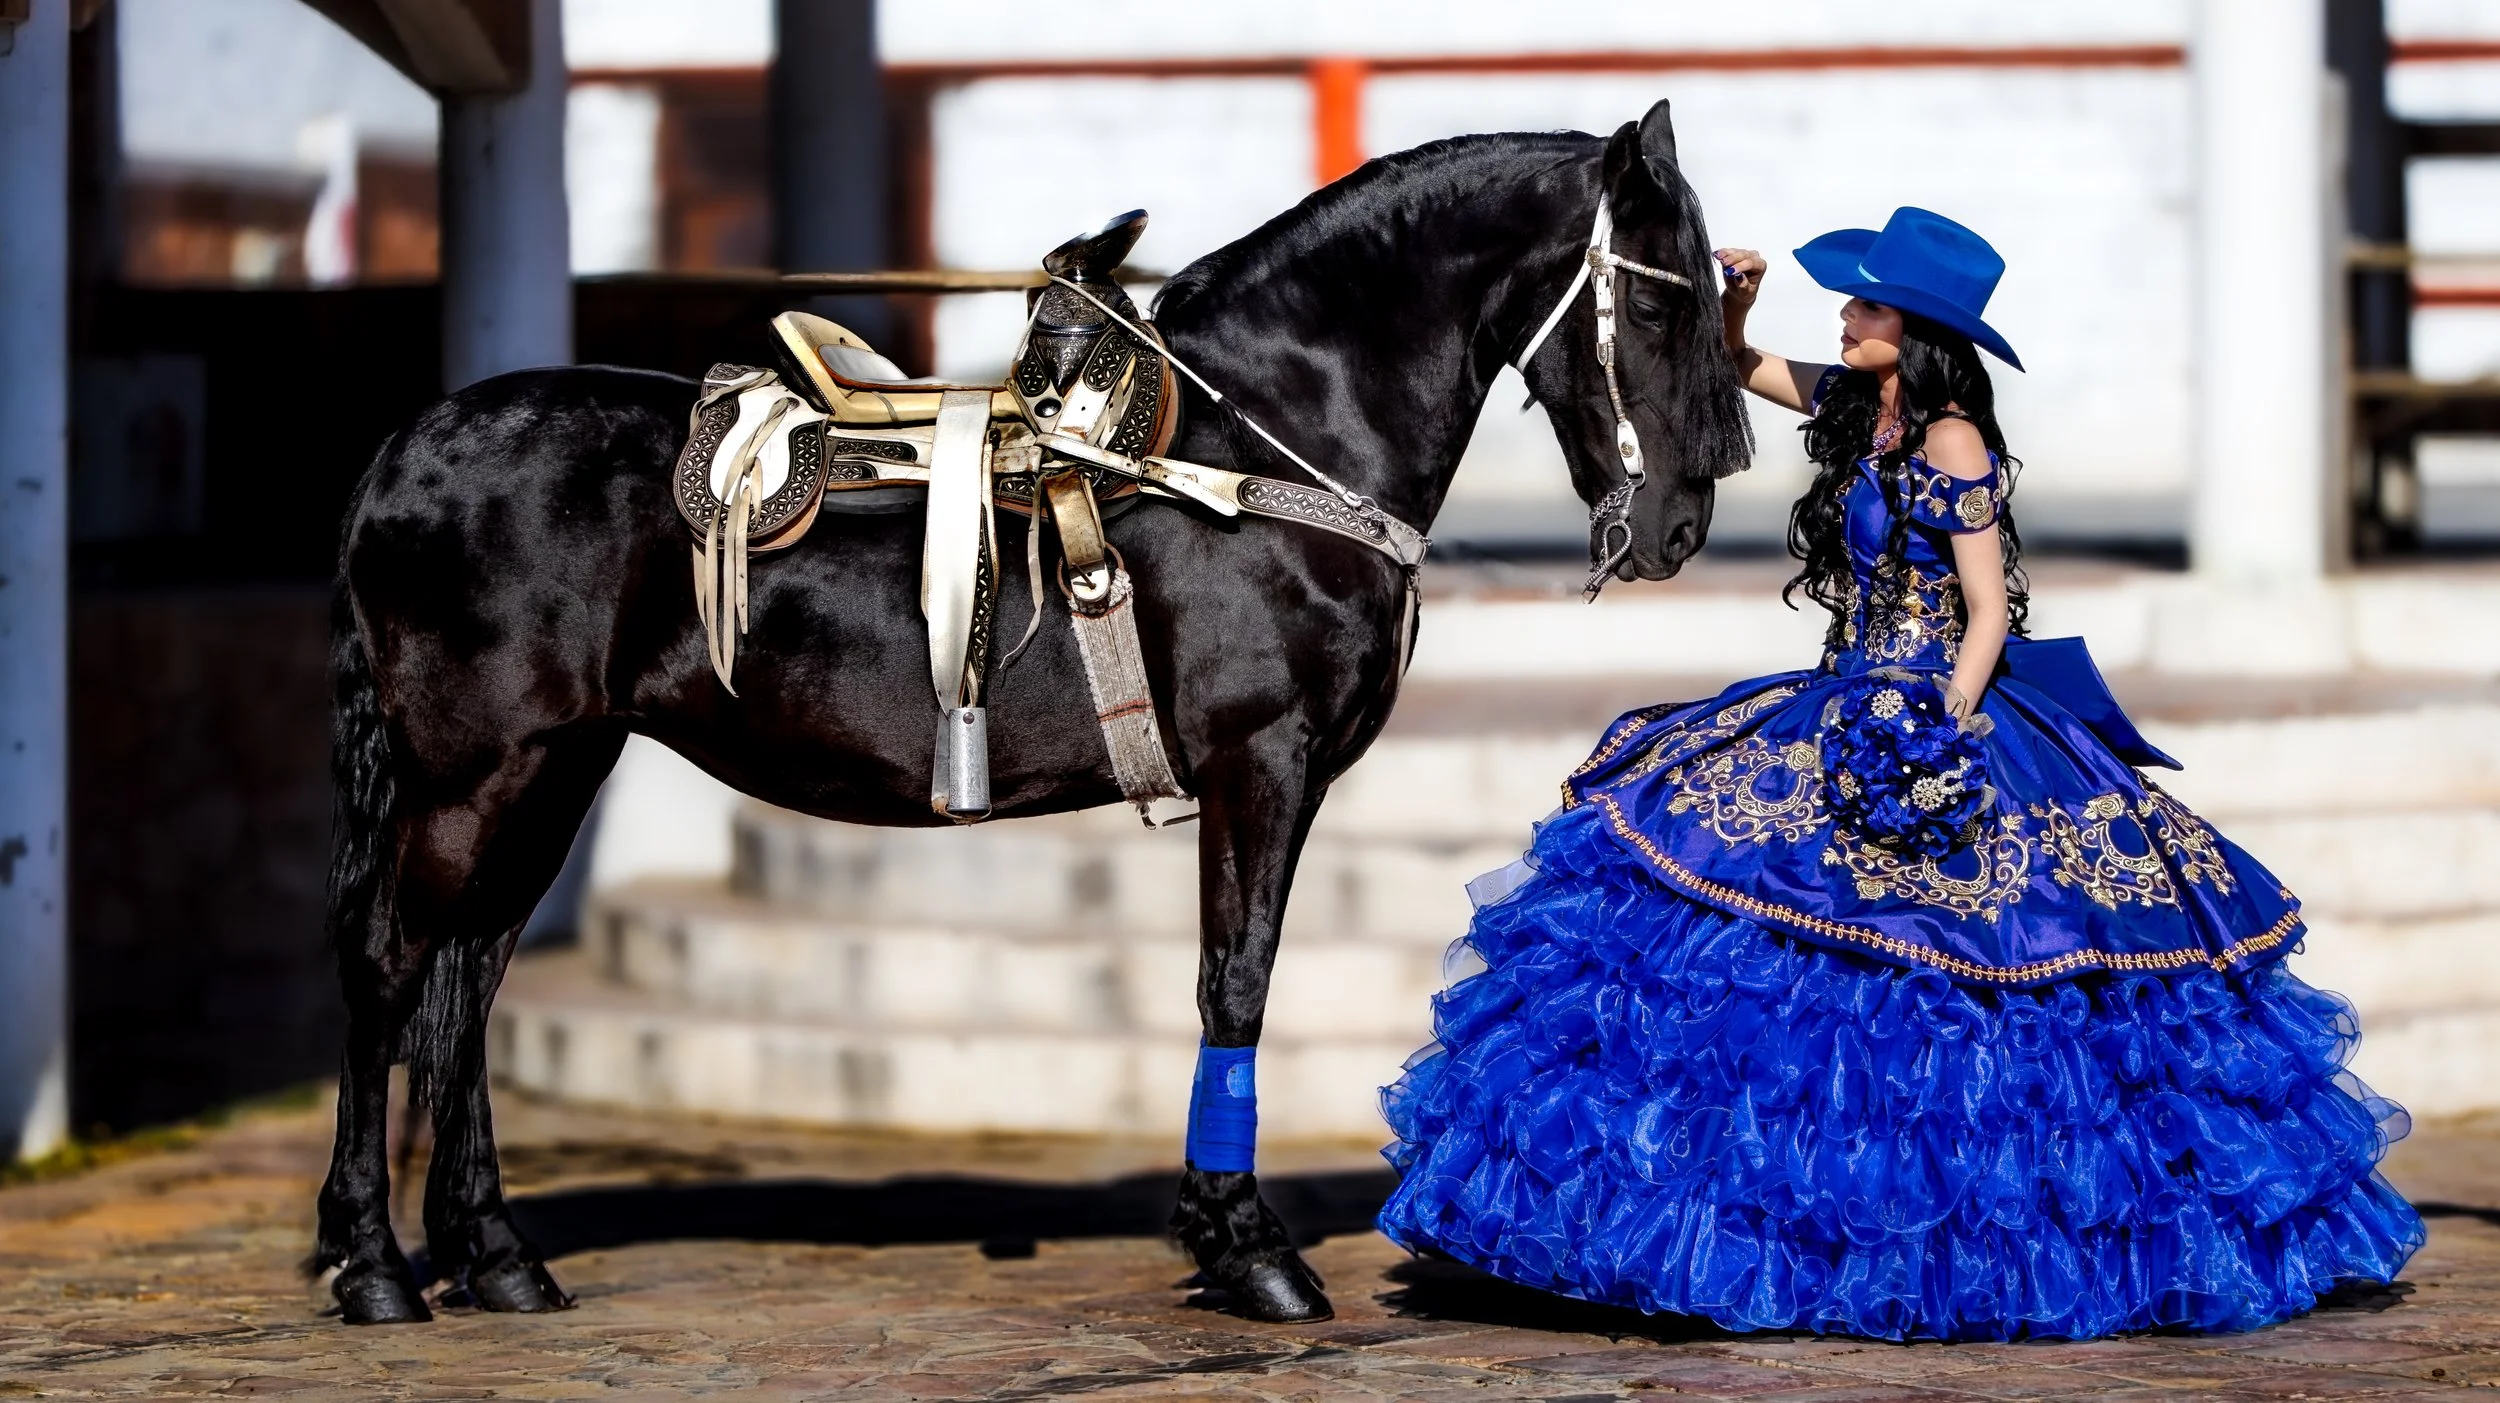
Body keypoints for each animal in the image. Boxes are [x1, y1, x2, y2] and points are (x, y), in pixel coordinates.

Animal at [310, 99, 1753, 1326]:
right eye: (1662, 298)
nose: (1682, 522)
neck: (1250, 457)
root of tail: (402, 452)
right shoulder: (1262, 763)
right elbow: (1238, 976)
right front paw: (1250, 1247)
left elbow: (1226, 977)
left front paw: (1219, 1235)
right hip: (474, 775)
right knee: (387, 962)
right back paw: (374, 1264)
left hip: (550, 767)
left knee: (469, 976)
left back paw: (497, 1258)